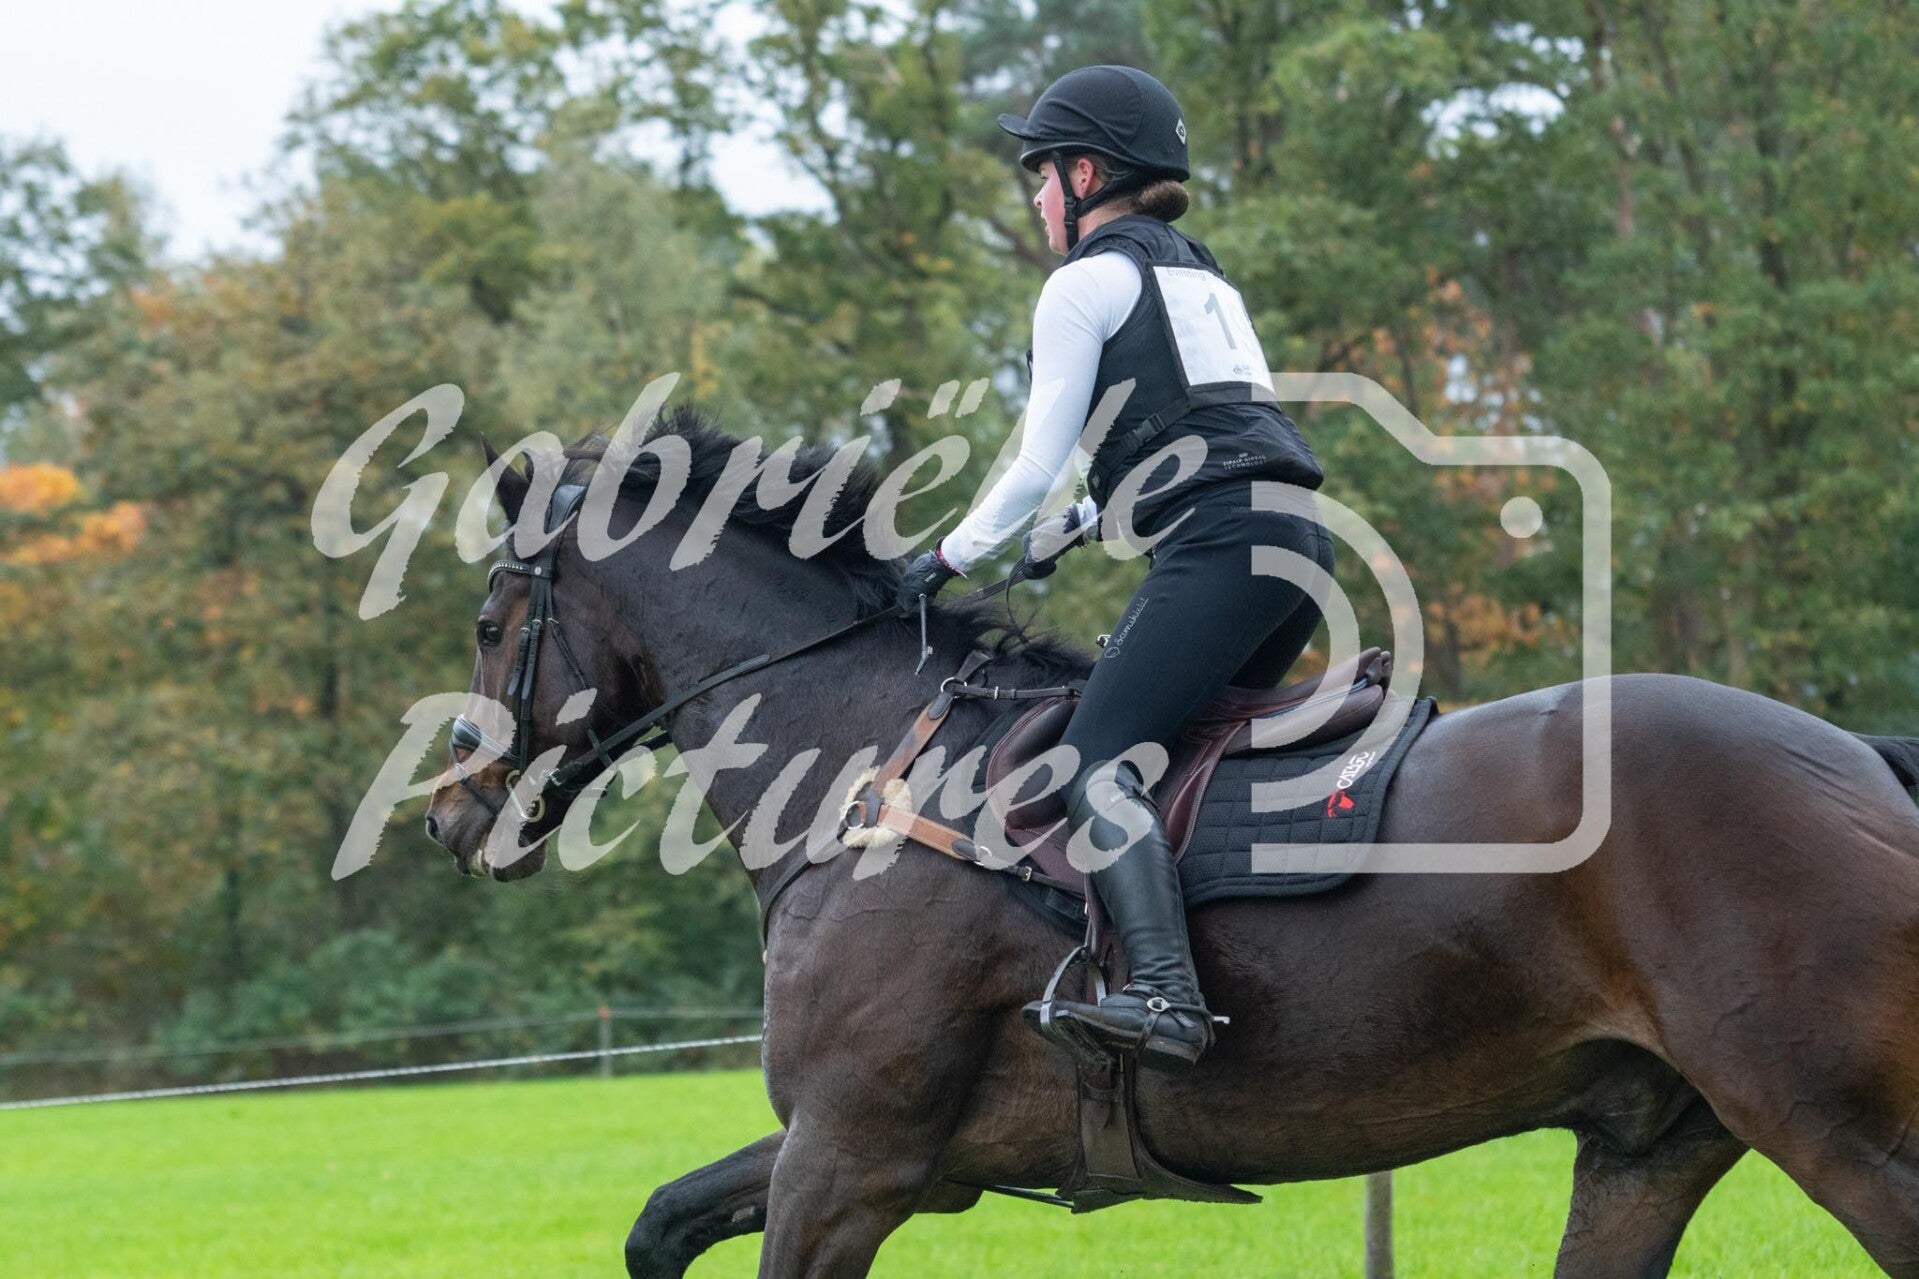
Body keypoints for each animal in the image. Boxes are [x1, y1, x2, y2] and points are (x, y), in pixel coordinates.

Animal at [424, 411, 1919, 1278]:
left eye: (491, 624)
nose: (451, 814)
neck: (859, 752)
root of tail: (1853, 756)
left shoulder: (848, 1155)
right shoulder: (890, 1153)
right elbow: (657, 1223)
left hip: (1829, 1121)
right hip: (1645, 1146)